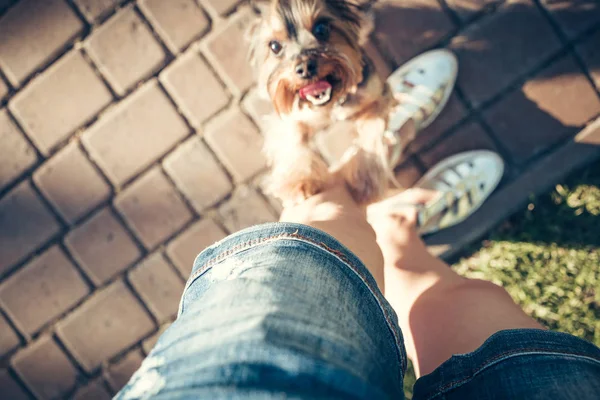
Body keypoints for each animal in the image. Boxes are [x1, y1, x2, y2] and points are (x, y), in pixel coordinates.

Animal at [246, 0, 410, 206]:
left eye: (321, 28)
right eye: (275, 46)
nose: (305, 67)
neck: (331, 102)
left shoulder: (376, 97)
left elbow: (370, 134)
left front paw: (365, 183)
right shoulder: (292, 118)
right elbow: (292, 142)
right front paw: (300, 182)